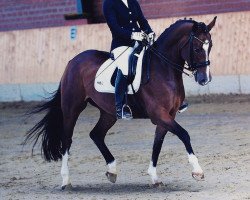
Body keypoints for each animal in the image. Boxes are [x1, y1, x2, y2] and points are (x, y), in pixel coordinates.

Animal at [24, 16, 217, 189]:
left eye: (210, 46)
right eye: (197, 48)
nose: (204, 79)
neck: (163, 68)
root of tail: (72, 61)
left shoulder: (167, 115)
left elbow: (158, 143)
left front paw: (154, 178)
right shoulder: (158, 114)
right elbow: (184, 134)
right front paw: (197, 171)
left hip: (108, 113)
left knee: (96, 134)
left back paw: (112, 171)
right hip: (72, 108)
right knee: (67, 140)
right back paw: (66, 181)